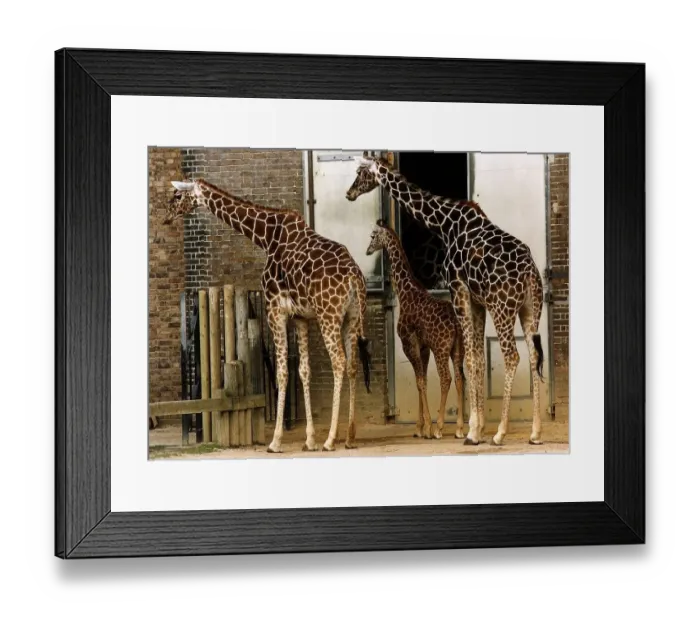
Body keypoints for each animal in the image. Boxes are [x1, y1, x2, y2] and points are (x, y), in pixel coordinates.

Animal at [163, 178, 372, 454]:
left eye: (177, 196)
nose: (166, 216)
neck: (265, 236)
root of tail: (354, 278)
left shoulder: (275, 309)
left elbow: (282, 373)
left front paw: (275, 441)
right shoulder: (301, 317)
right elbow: (304, 371)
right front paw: (309, 440)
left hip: (329, 316)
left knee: (338, 362)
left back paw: (330, 440)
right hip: (352, 317)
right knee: (352, 365)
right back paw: (349, 436)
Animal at [366, 220, 465, 440]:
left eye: (373, 235)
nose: (368, 250)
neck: (405, 291)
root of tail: (456, 324)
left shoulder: (409, 344)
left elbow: (420, 382)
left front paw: (426, 427)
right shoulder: (423, 347)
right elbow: (423, 380)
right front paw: (420, 428)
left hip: (441, 348)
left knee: (446, 378)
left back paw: (439, 428)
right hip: (457, 349)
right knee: (460, 378)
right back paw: (460, 429)